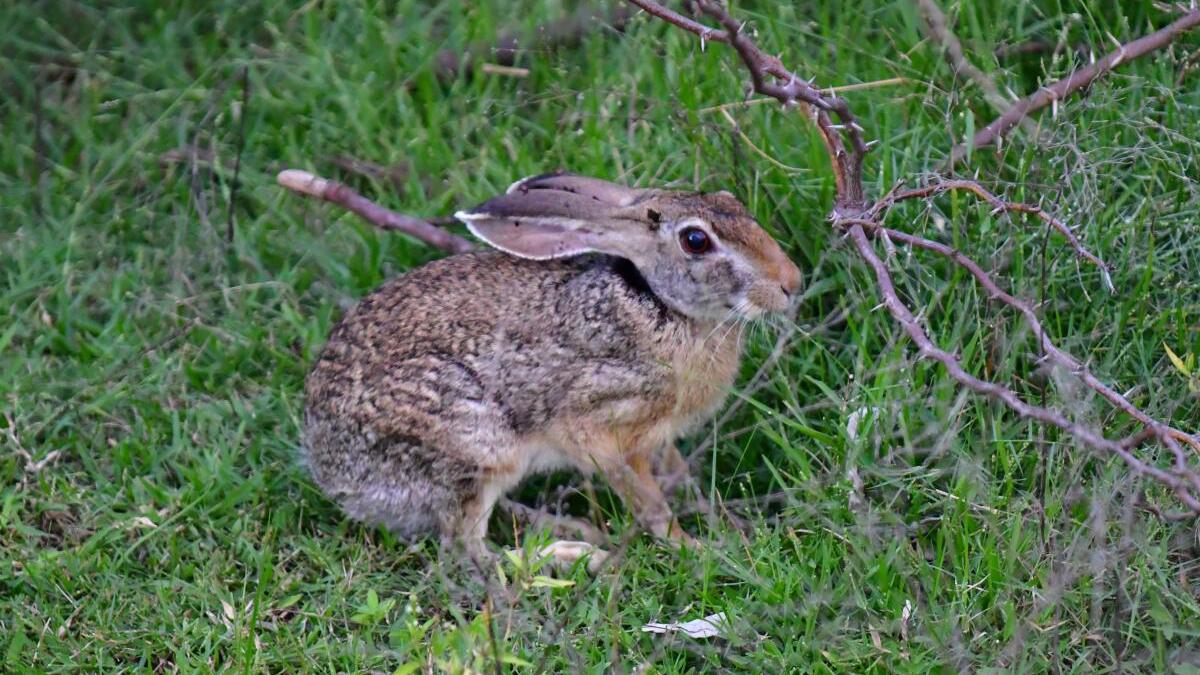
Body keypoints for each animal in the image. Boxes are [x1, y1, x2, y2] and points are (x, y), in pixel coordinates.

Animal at [304, 170, 801, 564]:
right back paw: (574, 555)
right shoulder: (596, 424)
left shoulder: (656, 439)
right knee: (466, 550)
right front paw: (692, 546)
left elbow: (677, 477)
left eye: (732, 202)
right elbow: (647, 501)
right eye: (696, 241)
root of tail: (329, 470)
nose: (791, 283)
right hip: (473, 442)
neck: (659, 306)